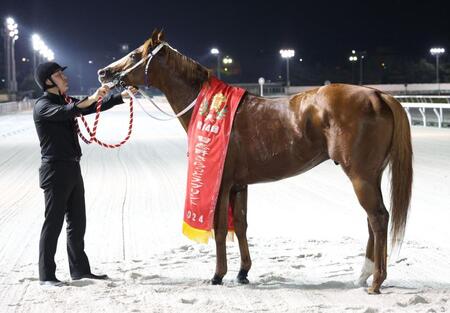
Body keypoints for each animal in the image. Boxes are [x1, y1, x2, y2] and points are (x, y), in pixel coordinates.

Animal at [98, 30, 412, 292]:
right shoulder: (240, 185)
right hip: (371, 175)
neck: (211, 108)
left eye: (135, 55)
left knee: (378, 218)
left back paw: (376, 281)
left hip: (360, 176)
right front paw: (243, 272)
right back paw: (363, 275)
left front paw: (218, 275)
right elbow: (242, 224)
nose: (104, 73)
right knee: (372, 220)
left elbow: (220, 228)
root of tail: (377, 94)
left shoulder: (222, 182)